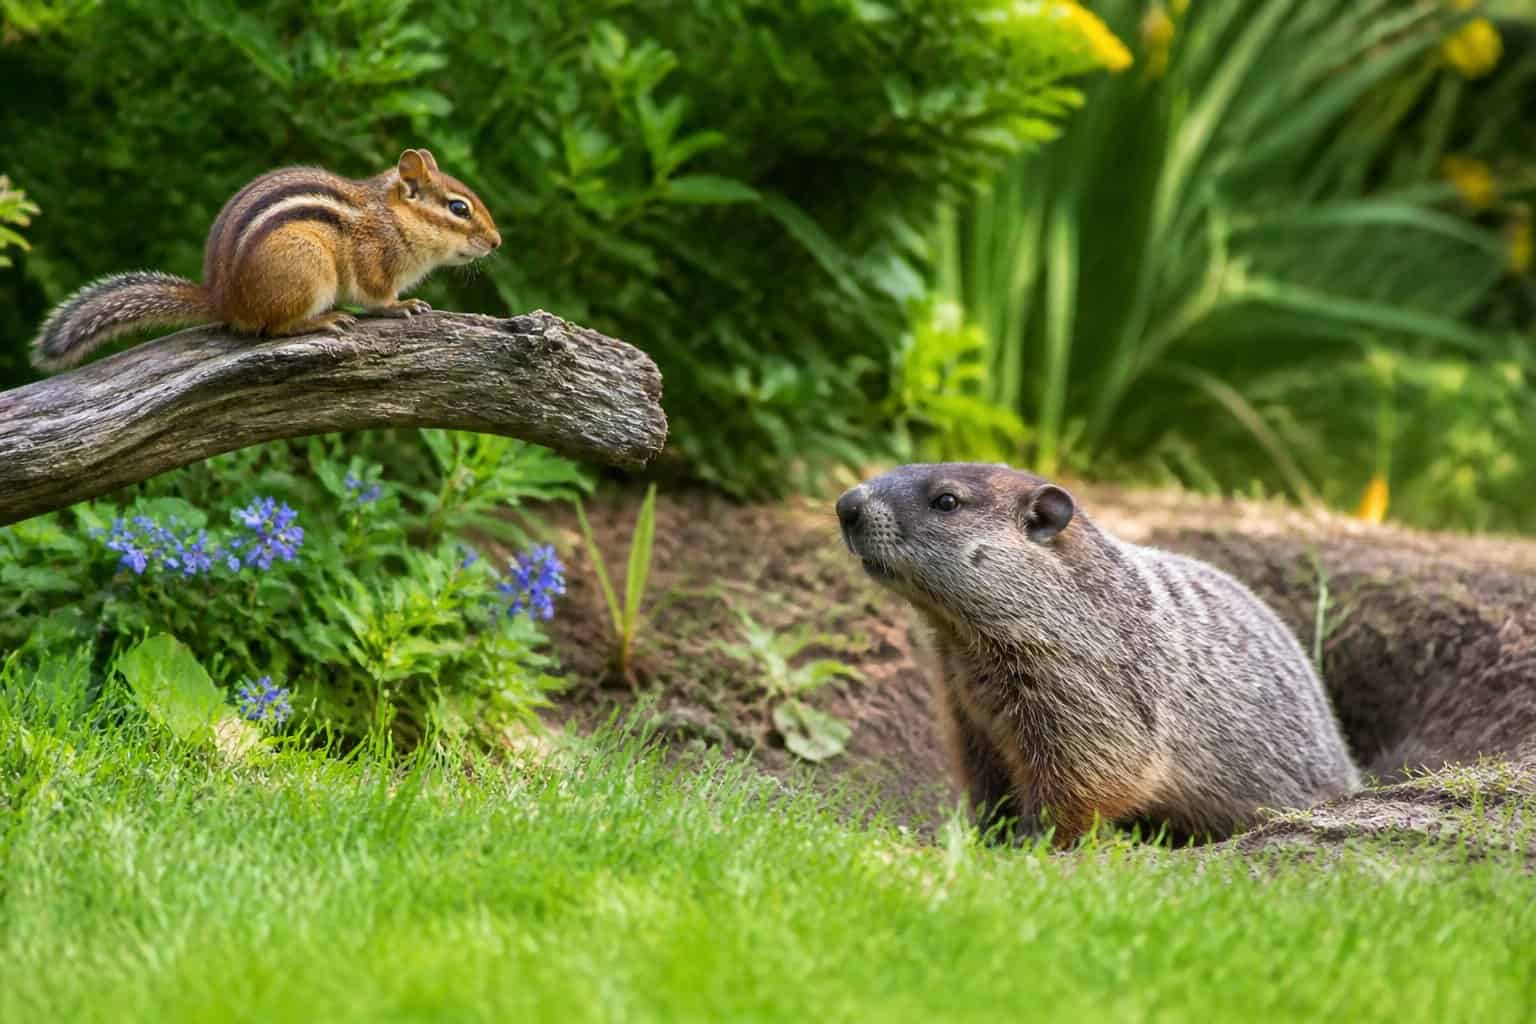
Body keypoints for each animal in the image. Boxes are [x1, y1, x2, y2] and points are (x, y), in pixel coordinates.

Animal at [30, 148, 501, 371]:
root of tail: (222, 298)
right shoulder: (373, 258)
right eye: (459, 209)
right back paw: (322, 320)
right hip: (308, 269)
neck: (393, 218)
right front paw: (401, 305)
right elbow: (377, 296)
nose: (497, 242)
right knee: (273, 328)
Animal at [836, 462, 1360, 848]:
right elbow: (983, 768)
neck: (964, 642)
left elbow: (1090, 764)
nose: (845, 505)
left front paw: (1031, 841)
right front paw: (986, 833)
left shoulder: (1082, 674)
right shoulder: (962, 702)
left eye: (946, 500)